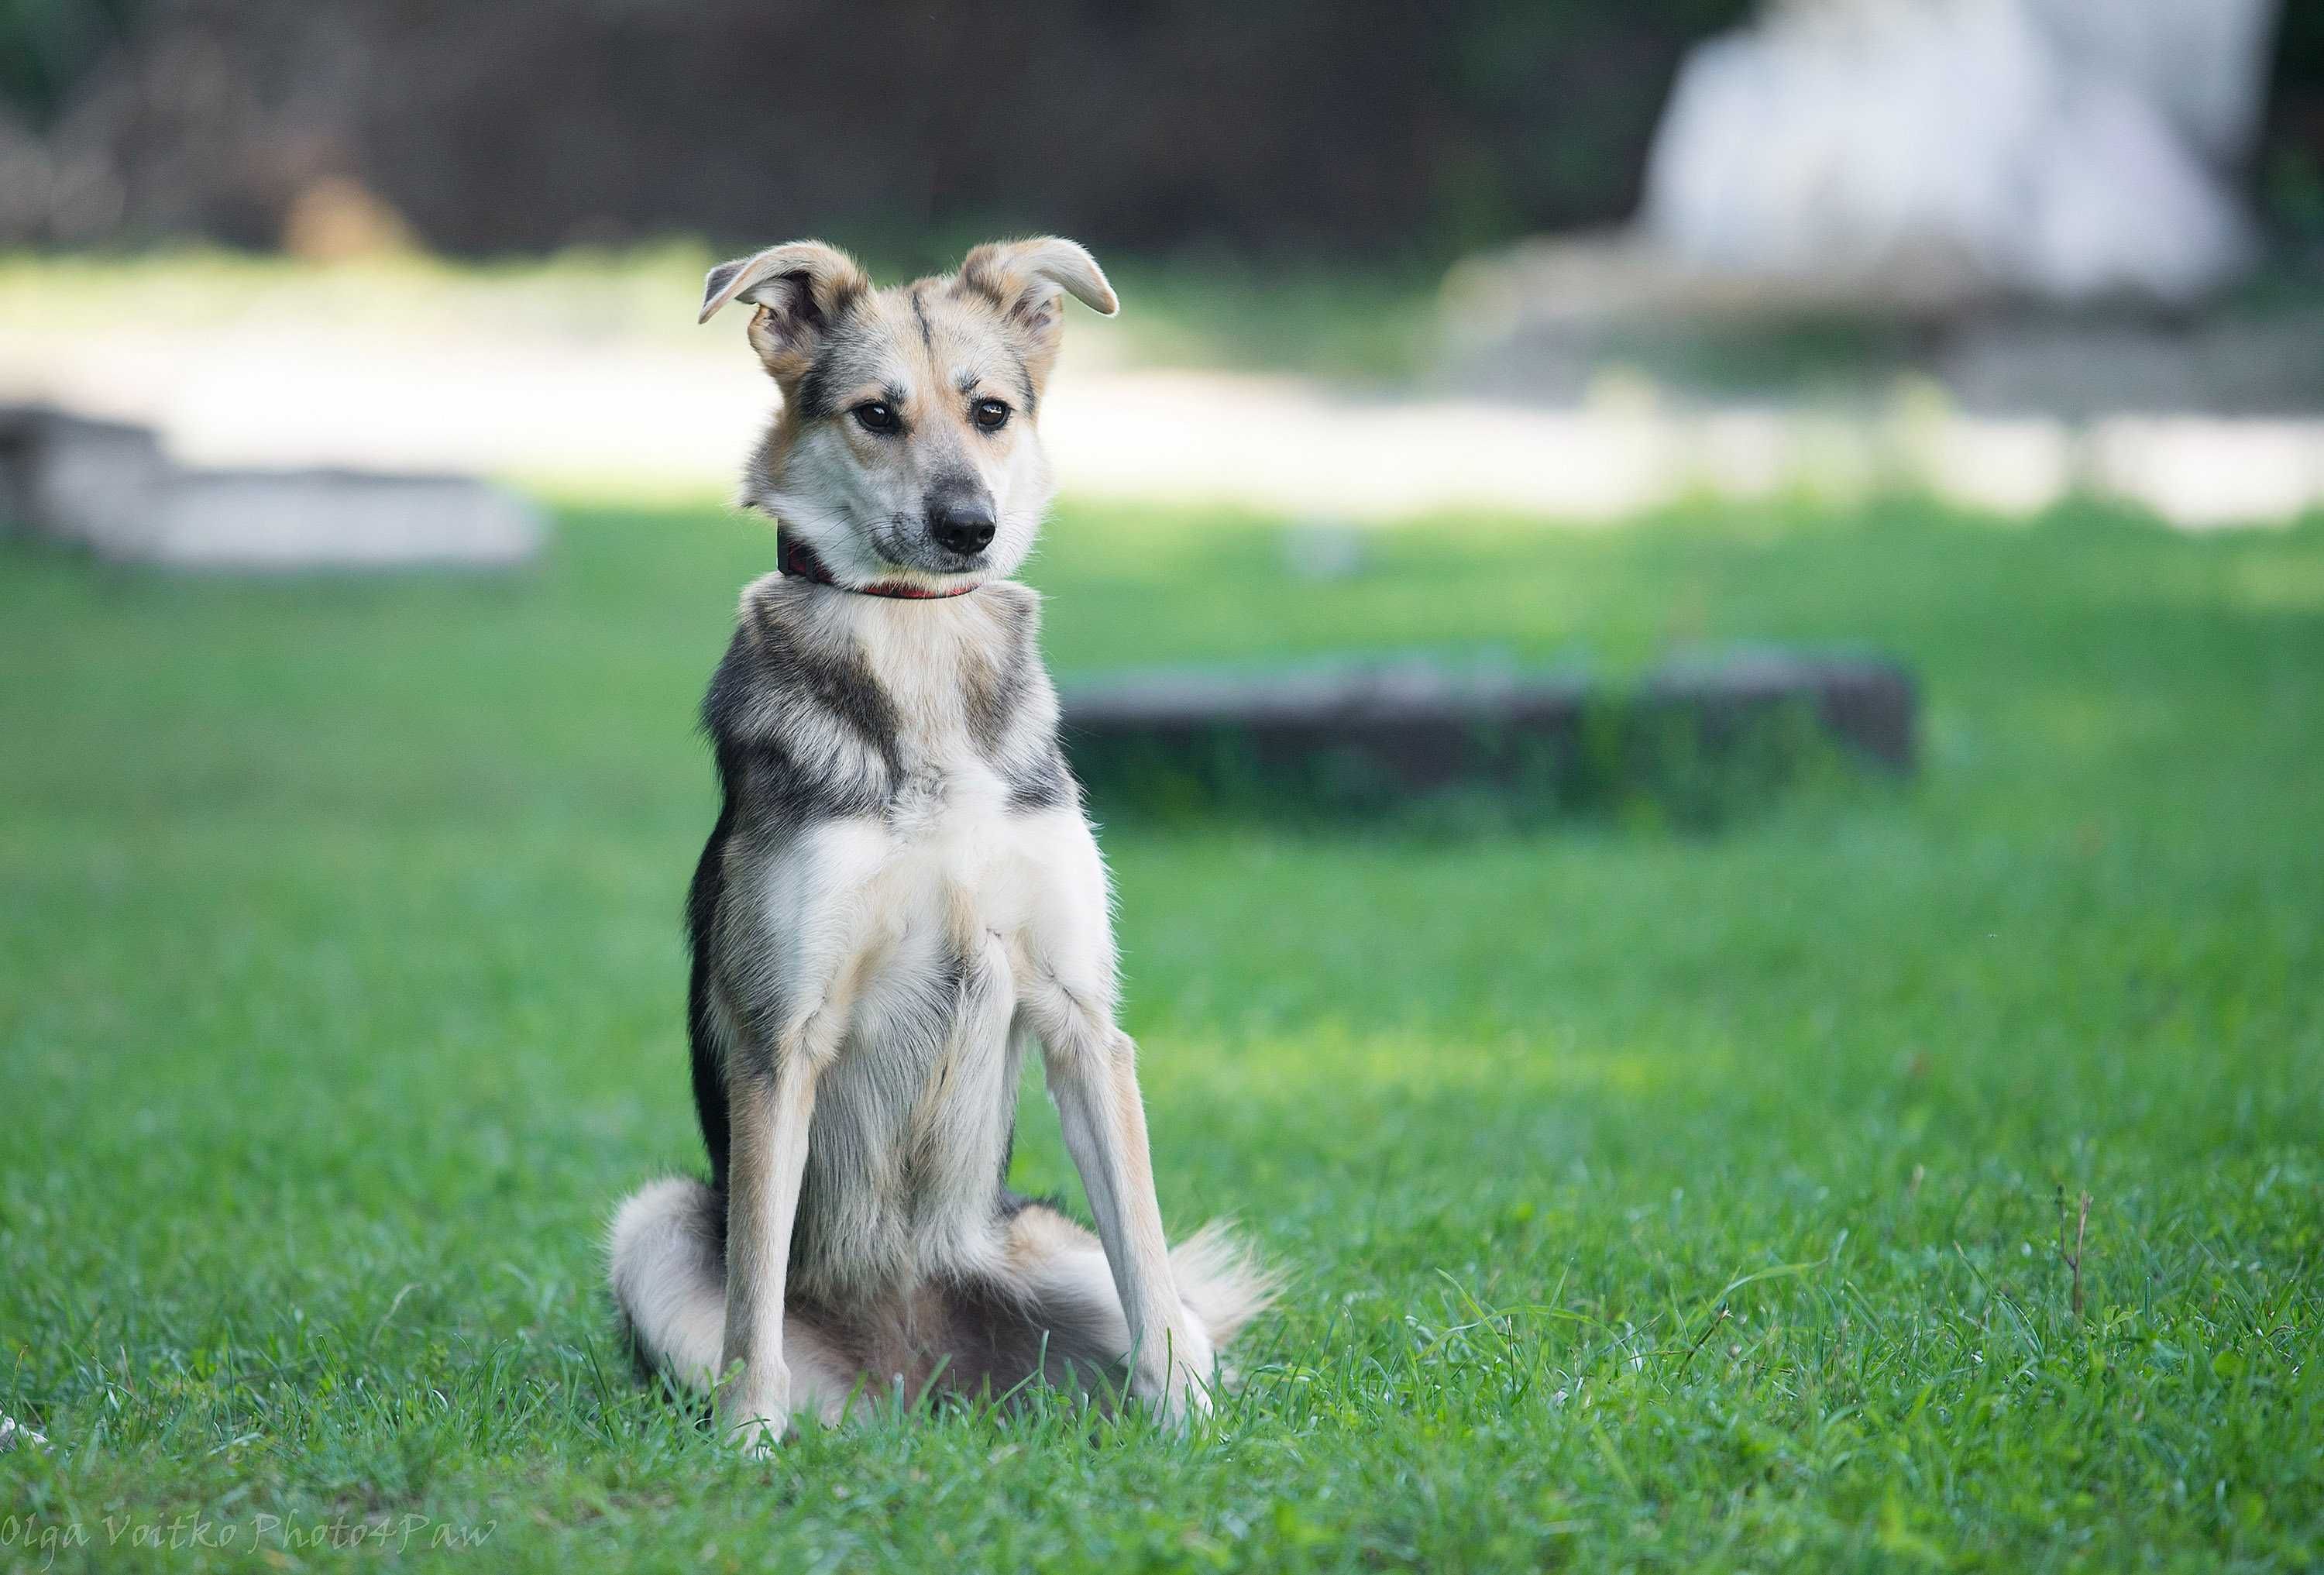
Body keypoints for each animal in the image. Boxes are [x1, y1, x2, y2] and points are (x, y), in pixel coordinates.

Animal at [604, 238, 1274, 1459]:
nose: (971, 525)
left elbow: (1151, 1264)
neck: (915, 632)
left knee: (1165, 1305)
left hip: (1051, 1252)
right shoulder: (781, 1042)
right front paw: (748, 1442)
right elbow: (754, 1295)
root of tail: (933, 1386)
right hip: (654, 1226)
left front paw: (1188, 1428)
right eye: (877, 414)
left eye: (991, 411)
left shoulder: (1084, 1023)